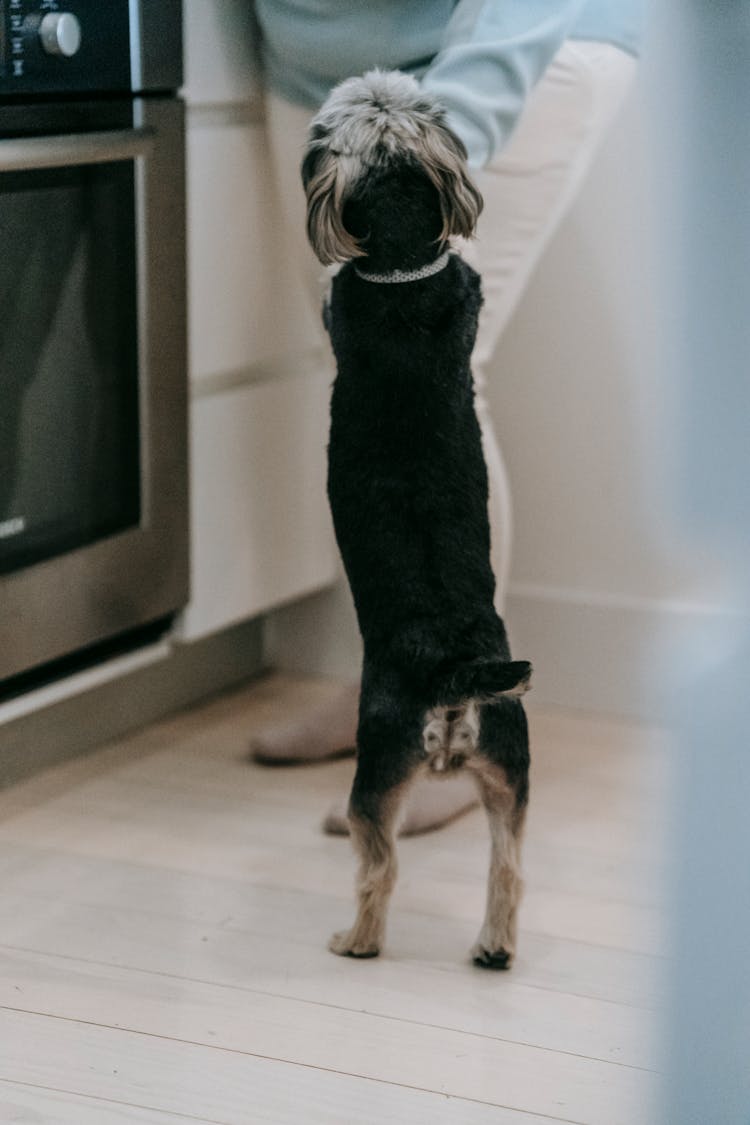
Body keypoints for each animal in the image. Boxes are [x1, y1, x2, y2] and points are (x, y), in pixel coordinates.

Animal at [301, 68, 532, 967]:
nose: (400, 74)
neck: (401, 258)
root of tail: (455, 675)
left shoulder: (343, 302)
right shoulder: (458, 290)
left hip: (381, 762)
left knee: (379, 863)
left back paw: (354, 939)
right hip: (510, 762)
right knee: (508, 865)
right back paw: (494, 946)